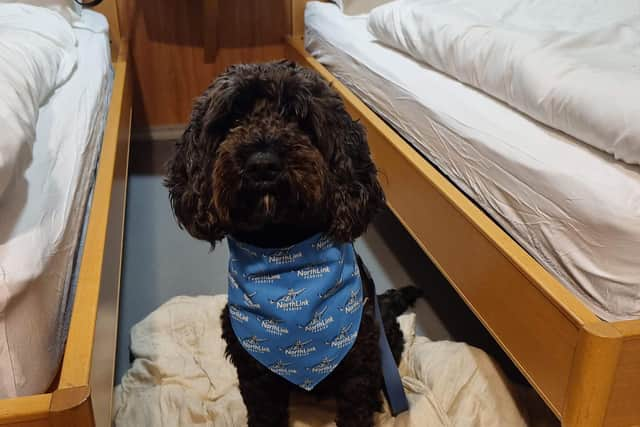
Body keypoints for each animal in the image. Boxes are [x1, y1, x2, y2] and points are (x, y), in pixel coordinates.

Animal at [165, 61, 420, 427]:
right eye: (233, 118)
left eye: (299, 118)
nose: (262, 163)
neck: (282, 250)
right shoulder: (253, 371)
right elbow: (263, 411)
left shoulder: (359, 364)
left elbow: (356, 408)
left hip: (385, 341)